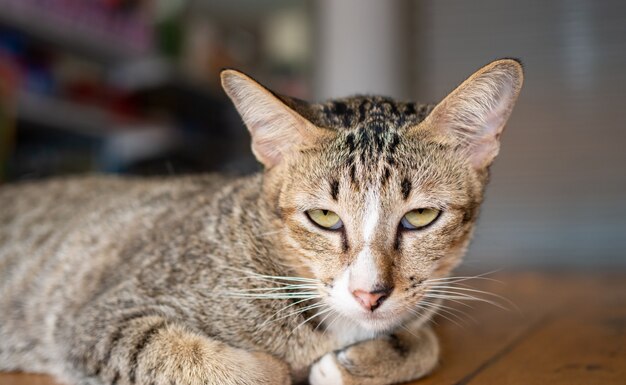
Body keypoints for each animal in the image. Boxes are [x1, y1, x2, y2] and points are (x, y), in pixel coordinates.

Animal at [0, 57, 520, 384]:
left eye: (421, 216)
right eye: (324, 217)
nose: (368, 294)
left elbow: (425, 340)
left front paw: (362, 360)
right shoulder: (98, 319)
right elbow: (187, 355)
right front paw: (280, 367)